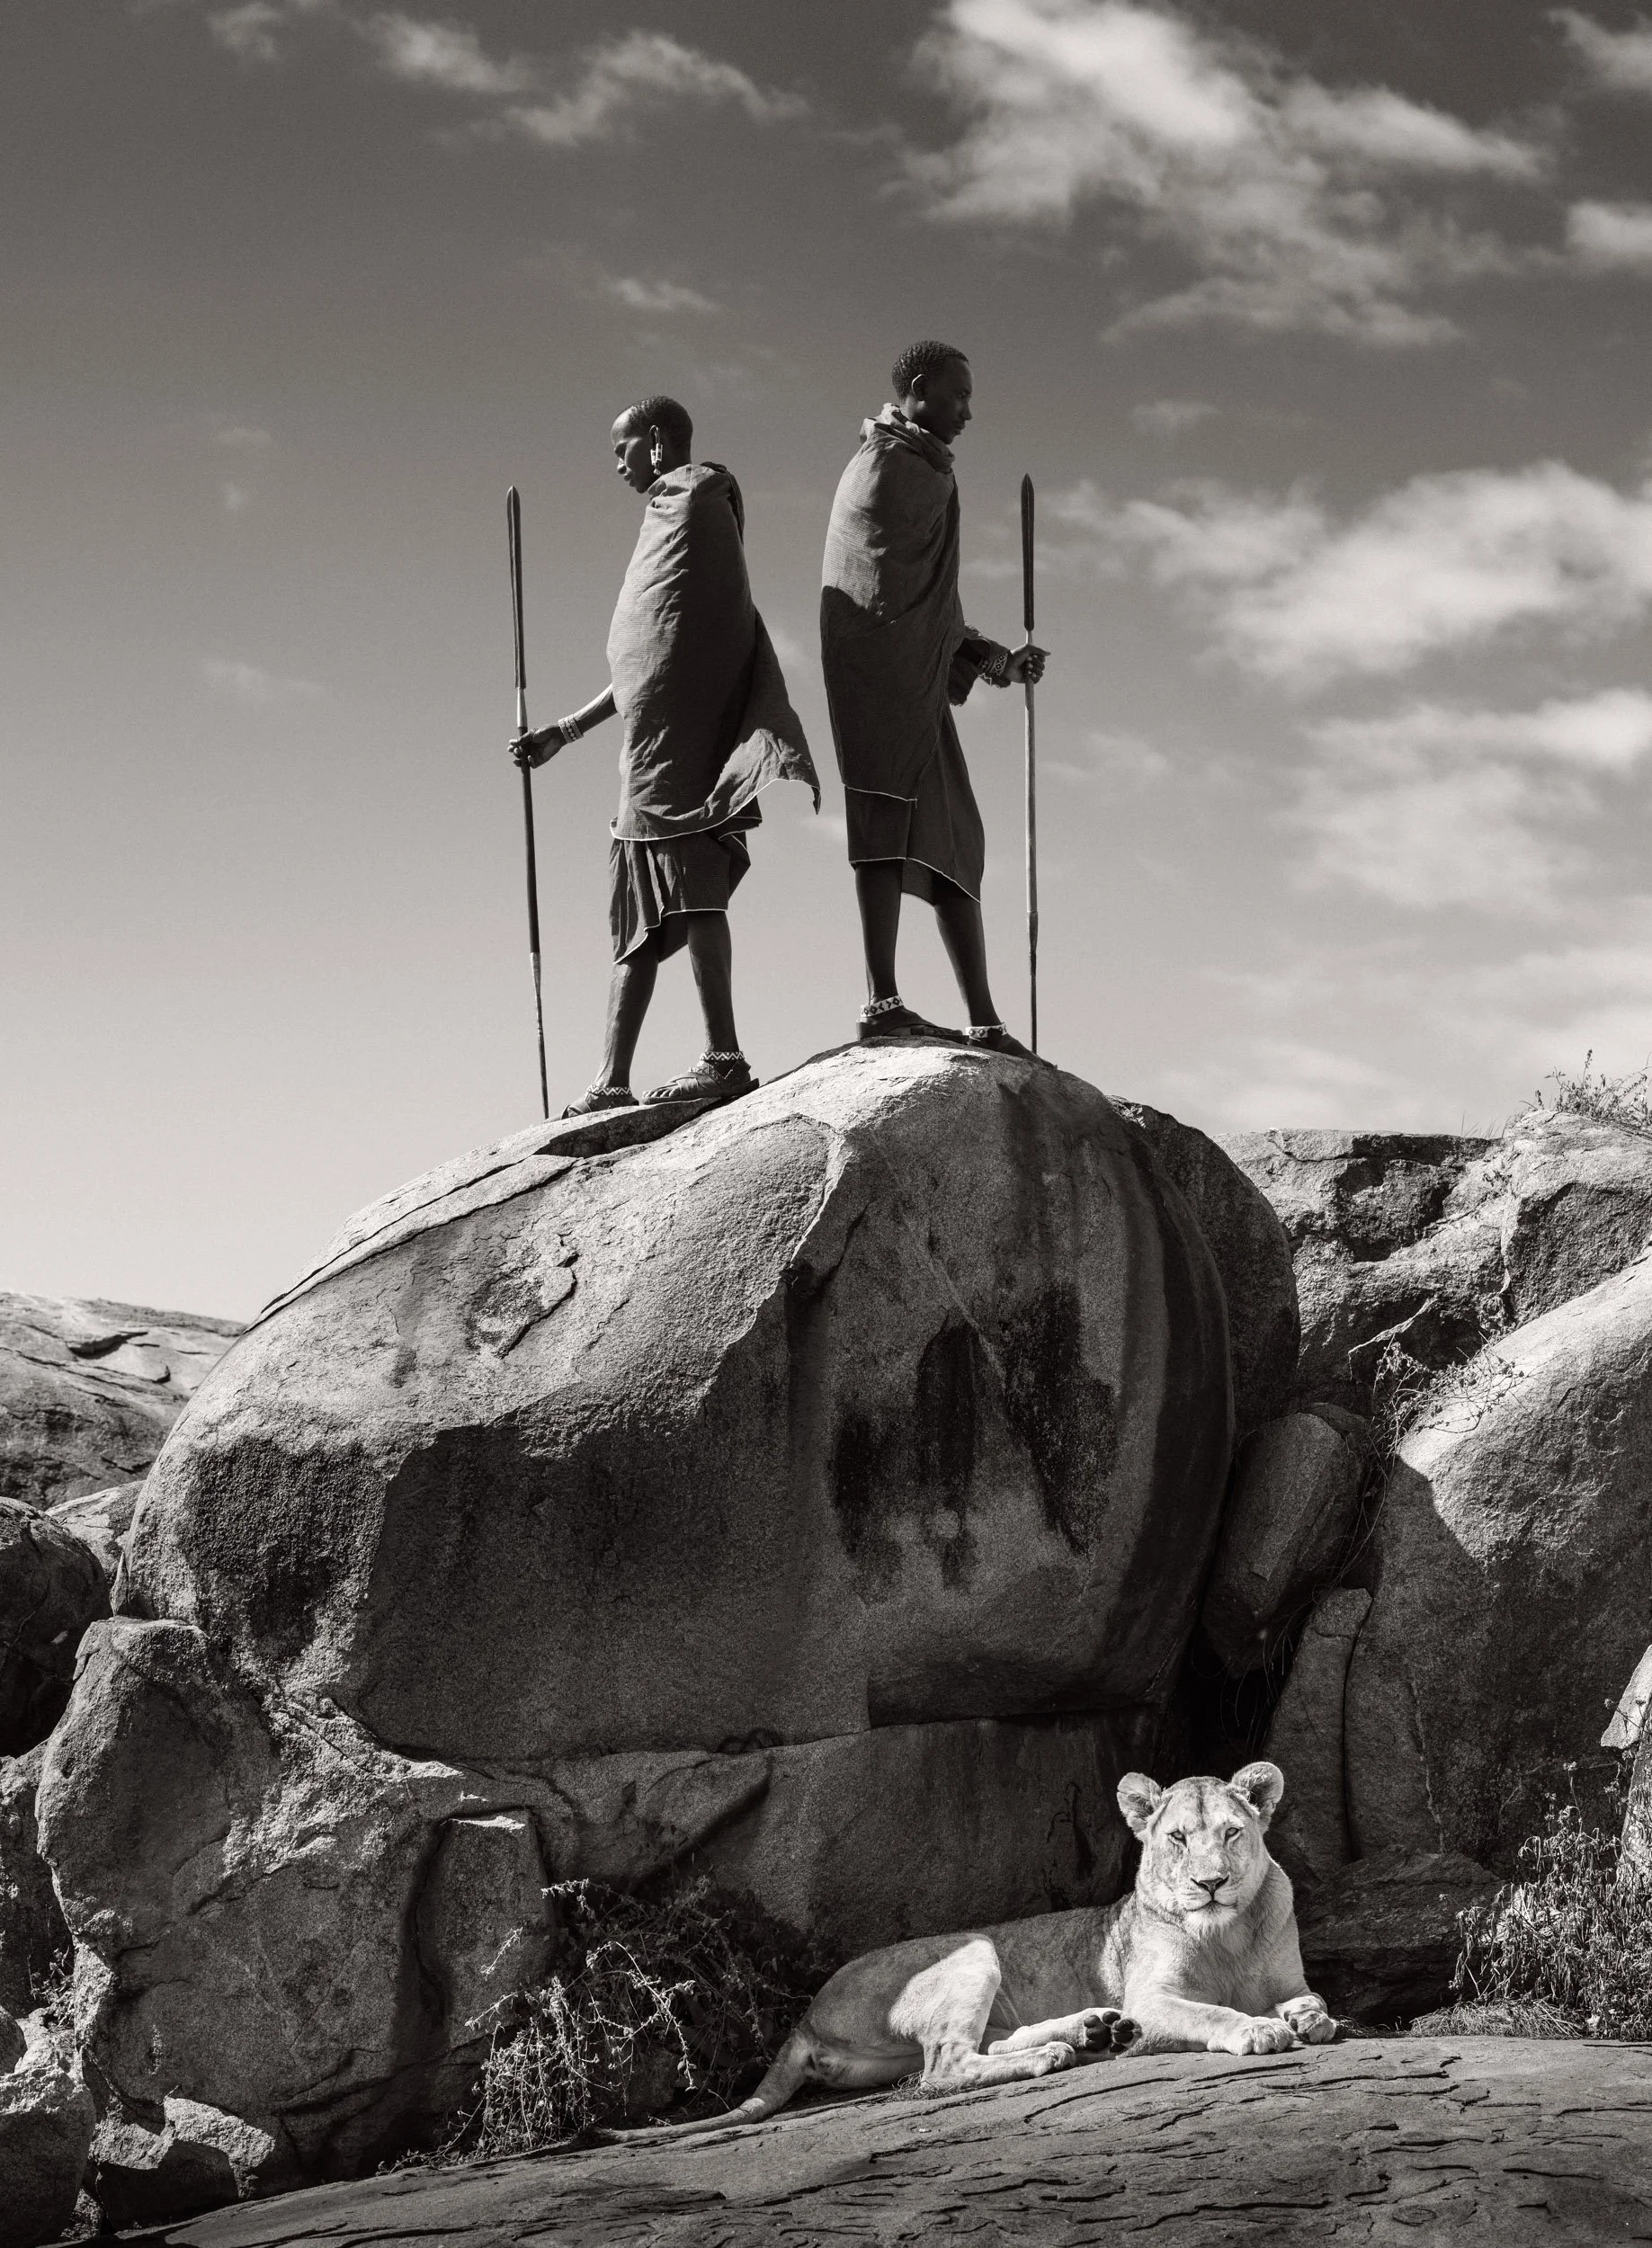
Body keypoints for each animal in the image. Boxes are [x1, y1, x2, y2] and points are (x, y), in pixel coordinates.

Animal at [622, 1760, 1336, 2138]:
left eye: (1232, 1833)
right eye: (1179, 1839)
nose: (1210, 1883)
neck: (1227, 1934)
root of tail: (804, 2015)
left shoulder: (1280, 1976)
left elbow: (1306, 1998)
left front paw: (1310, 2019)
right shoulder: (1152, 1996)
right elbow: (1208, 2010)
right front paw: (1258, 2031)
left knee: (978, 2047)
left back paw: (1093, 2031)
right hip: (972, 1950)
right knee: (942, 2069)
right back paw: (1059, 2052)